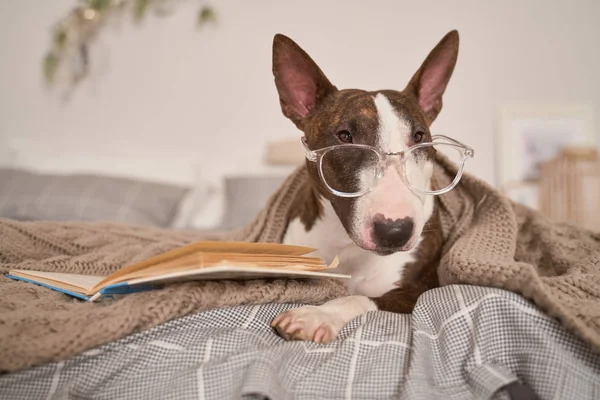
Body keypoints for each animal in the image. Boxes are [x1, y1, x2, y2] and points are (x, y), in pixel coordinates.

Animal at [268, 30, 460, 344]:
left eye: (419, 137)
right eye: (345, 136)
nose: (395, 231)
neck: (345, 245)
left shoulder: (418, 291)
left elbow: (359, 298)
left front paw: (316, 315)